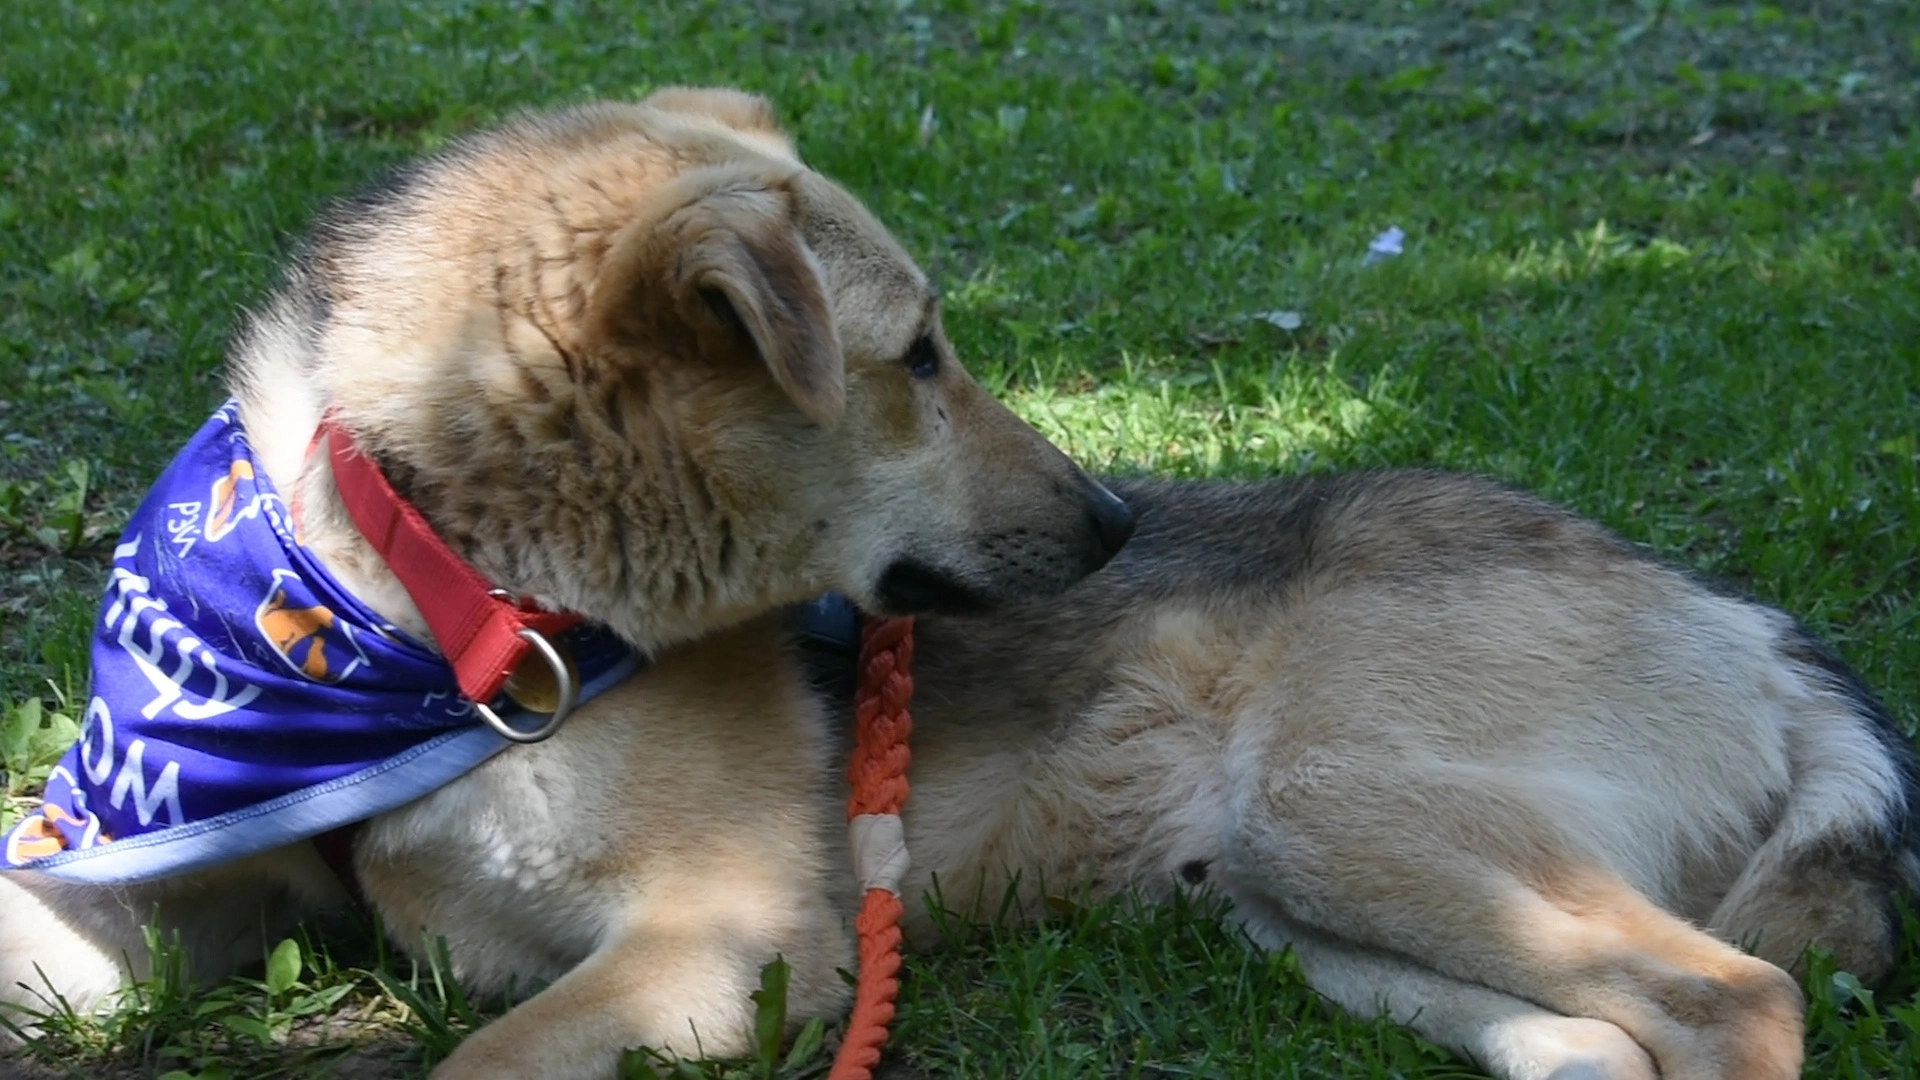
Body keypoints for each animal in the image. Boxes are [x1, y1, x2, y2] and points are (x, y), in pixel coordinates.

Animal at [3, 90, 1920, 1076]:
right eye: (919, 357)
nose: (1117, 523)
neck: (427, 606)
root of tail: (1752, 624)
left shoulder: (732, 942)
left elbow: (476, 1058)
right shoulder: (133, 880)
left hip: (1344, 811)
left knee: (1737, 1000)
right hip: (1297, 901)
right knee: (1606, 1043)